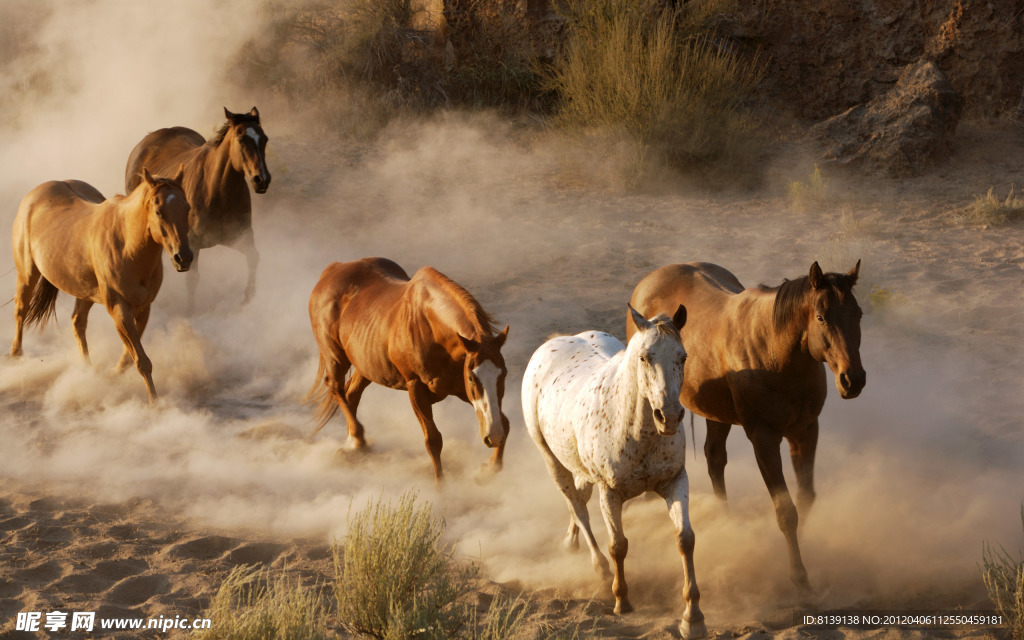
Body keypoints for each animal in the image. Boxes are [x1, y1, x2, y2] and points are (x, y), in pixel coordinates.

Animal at [11, 168, 192, 399]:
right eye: (159, 211)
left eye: (187, 208)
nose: (183, 258)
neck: (127, 246)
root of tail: (34, 194)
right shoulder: (119, 309)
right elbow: (142, 361)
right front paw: (155, 403)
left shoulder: (143, 308)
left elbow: (130, 359)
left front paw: (111, 376)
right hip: (27, 274)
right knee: (21, 310)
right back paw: (16, 357)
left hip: (84, 291)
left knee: (77, 322)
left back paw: (87, 370)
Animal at [122, 107, 272, 311]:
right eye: (241, 140)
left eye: (264, 139)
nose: (262, 180)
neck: (216, 192)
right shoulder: (191, 244)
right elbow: (192, 279)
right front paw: (191, 310)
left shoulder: (241, 236)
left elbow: (253, 257)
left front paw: (248, 298)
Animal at [303, 254, 512, 479]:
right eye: (472, 377)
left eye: (504, 375)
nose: (493, 436)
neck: (431, 328)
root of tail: (332, 270)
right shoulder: (416, 388)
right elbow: (433, 441)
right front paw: (441, 486)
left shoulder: (460, 389)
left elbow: (505, 422)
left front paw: (488, 470)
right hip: (335, 356)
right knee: (335, 387)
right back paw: (357, 440)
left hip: (365, 365)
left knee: (351, 393)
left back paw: (353, 444)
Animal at [520, 307, 704, 634]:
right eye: (645, 357)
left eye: (682, 357)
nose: (669, 416)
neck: (636, 431)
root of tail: (554, 342)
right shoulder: (610, 493)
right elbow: (618, 545)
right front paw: (622, 601)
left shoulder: (675, 481)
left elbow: (685, 539)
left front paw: (692, 617)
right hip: (552, 460)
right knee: (577, 507)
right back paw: (601, 570)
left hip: (580, 468)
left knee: (579, 499)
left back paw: (570, 542)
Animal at [622, 260, 864, 593]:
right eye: (821, 317)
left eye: (859, 314)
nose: (853, 380)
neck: (776, 353)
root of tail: (649, 281)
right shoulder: (763, 439)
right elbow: (786, 511)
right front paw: (799, 576)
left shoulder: (805, 432)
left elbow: (806, 498)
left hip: (717, 414)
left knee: (714, 458)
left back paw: (726, 520)